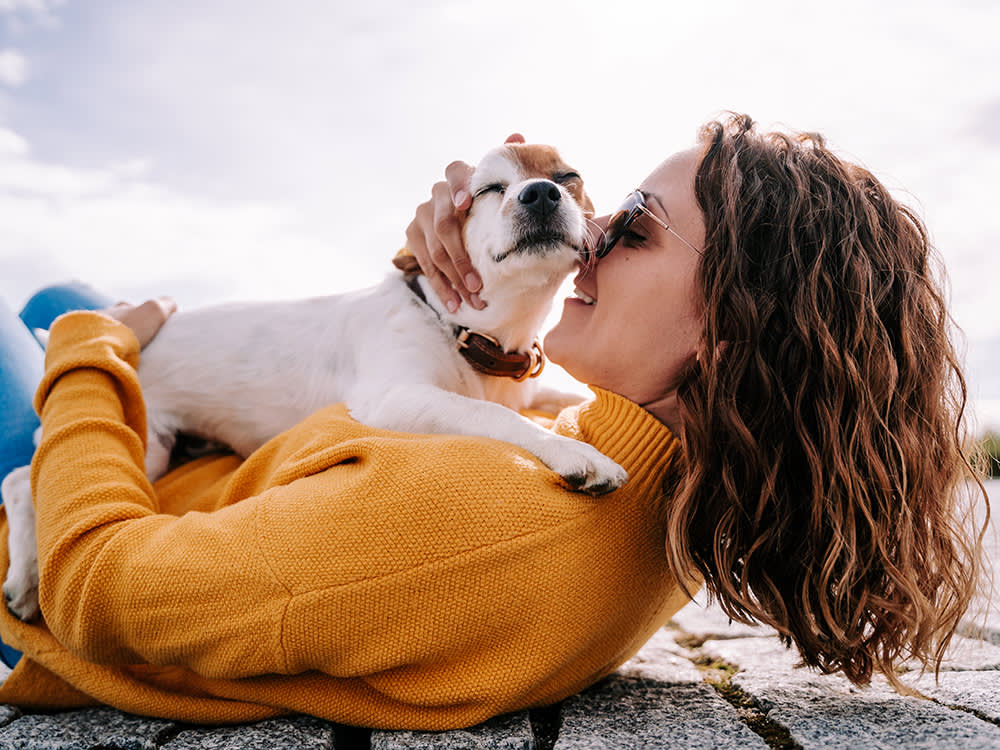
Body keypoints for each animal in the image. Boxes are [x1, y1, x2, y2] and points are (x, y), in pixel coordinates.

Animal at [1, 142, 624, 624]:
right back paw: (27, 579)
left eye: (568, 178)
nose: (540, 193)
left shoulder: (525, 387)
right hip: (145, 442)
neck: (469, 333)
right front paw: (578, 454)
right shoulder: (396, 398)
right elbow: (496, 415)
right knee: (20, 480)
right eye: (490, 188)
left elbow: (556, 398)